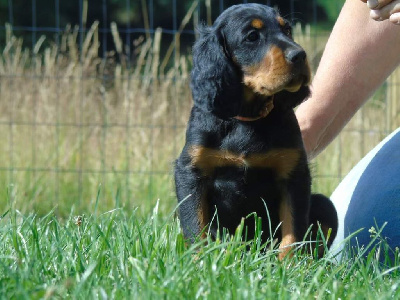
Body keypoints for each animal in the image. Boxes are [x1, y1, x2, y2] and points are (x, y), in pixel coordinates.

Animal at [175, 3, 338, 258]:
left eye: (287, 29)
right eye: (252, 36)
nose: (300, 55)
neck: (248, 118)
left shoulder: (294, 173)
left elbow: (293, 229)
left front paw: (289, 264)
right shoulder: (191, 171)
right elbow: (195, 224)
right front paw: (199, 260)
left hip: (325, 205)